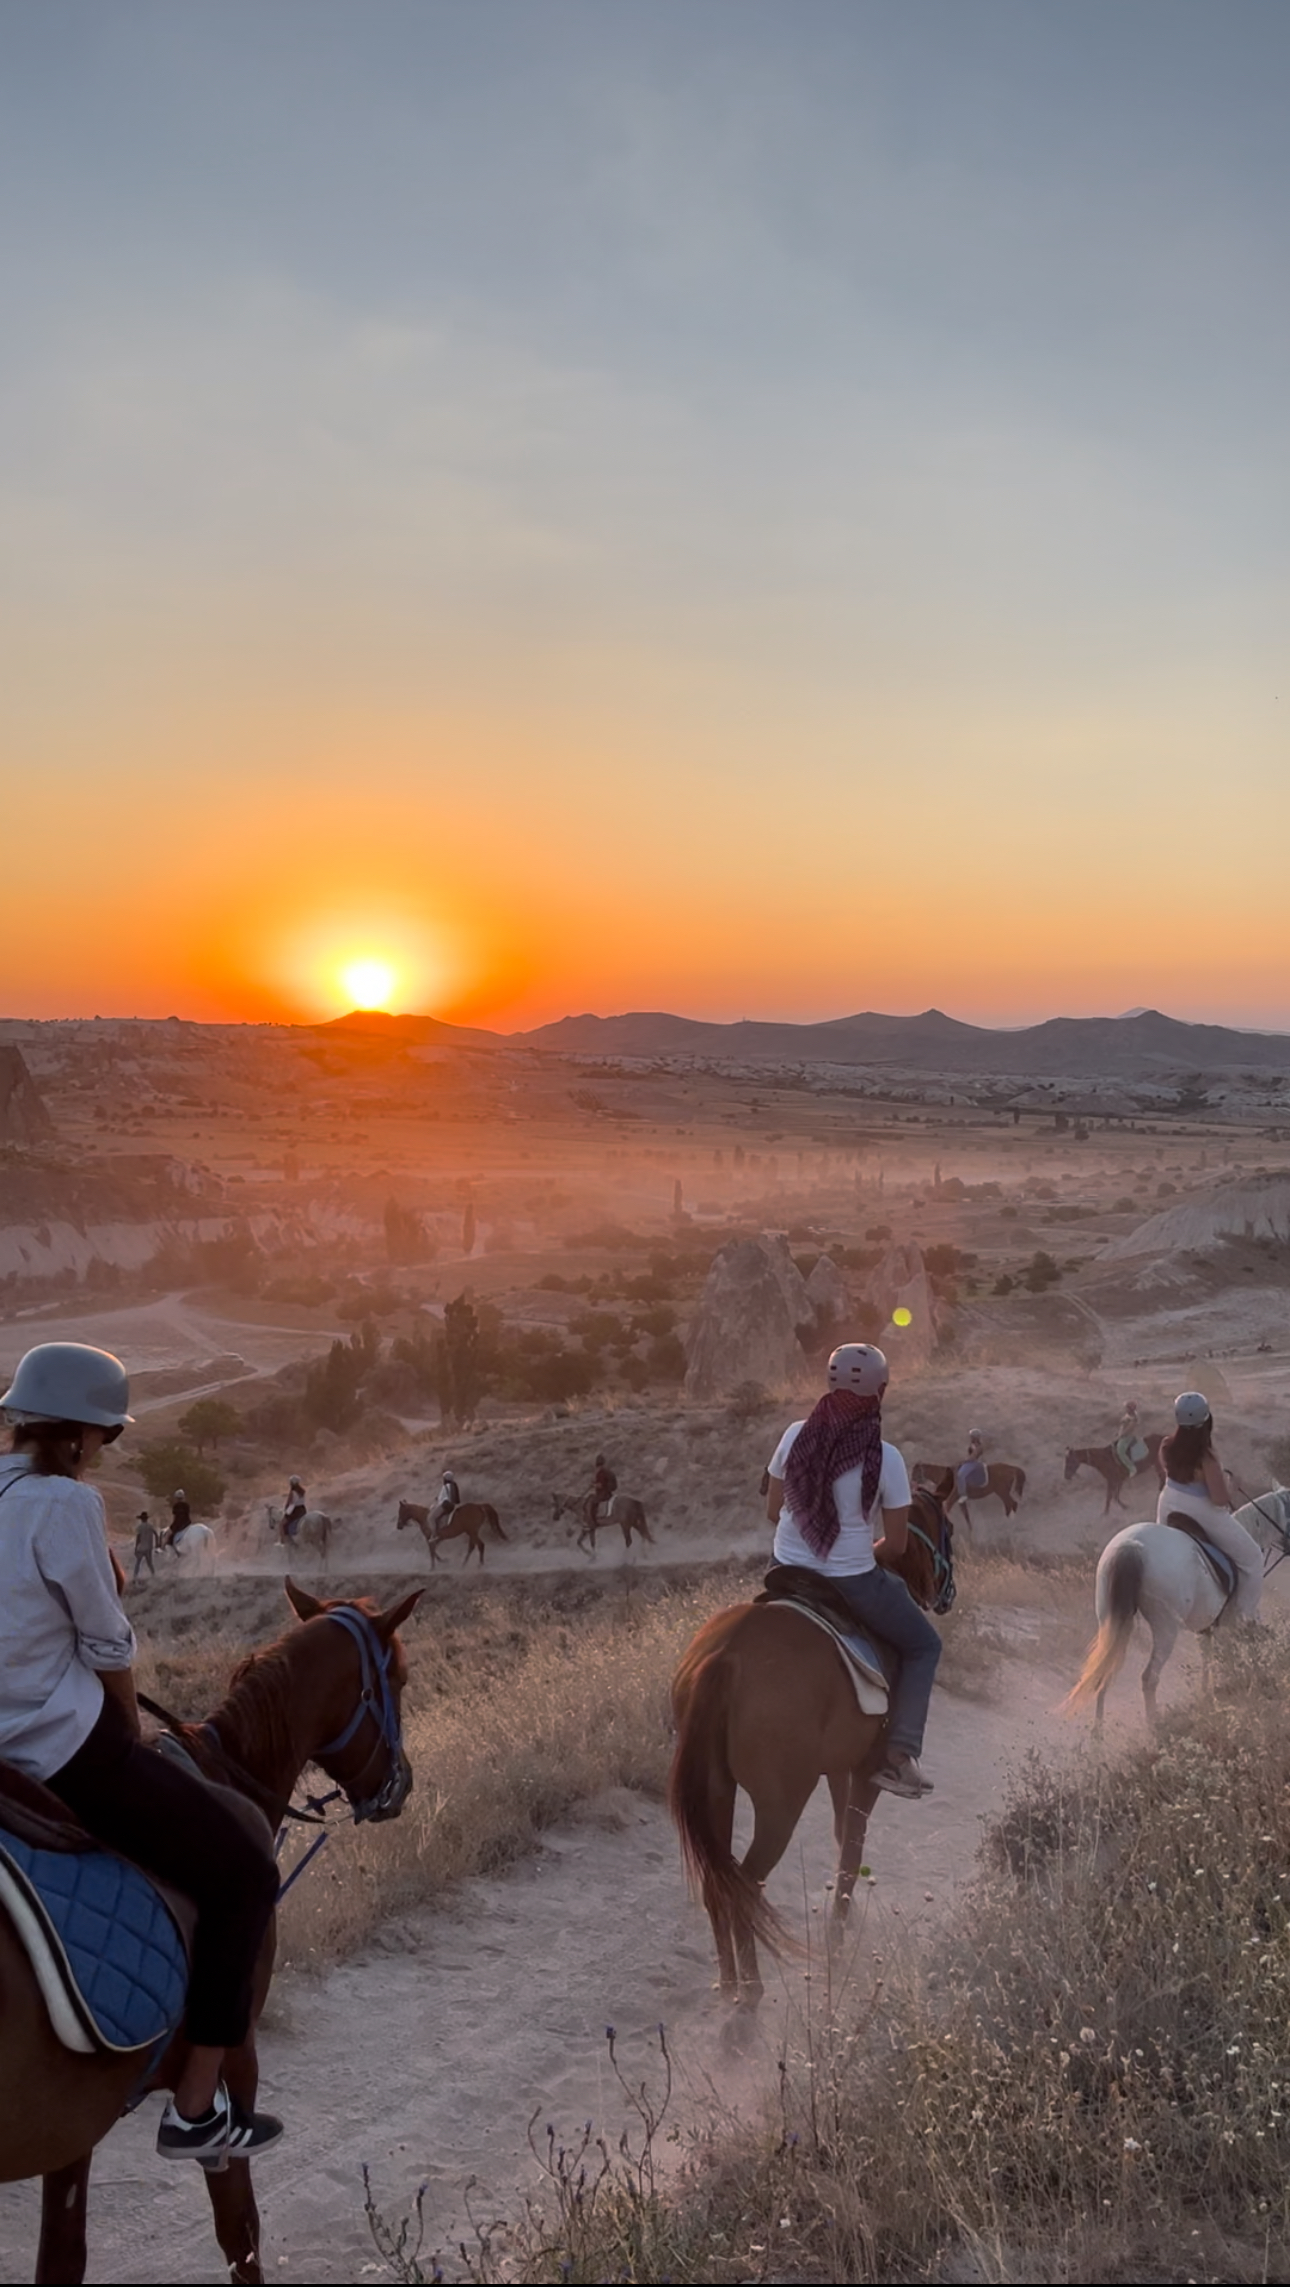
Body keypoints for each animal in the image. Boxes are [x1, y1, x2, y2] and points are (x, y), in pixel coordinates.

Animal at [0, 1582, 420, 2287]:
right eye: (401, 1678)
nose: (402, 1782)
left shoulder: (73, 2124)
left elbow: (62, 2257)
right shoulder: (236, 2053)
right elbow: (239, 2233)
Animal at [672, 1509, 942, 2012]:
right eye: (945, 1526)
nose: (943, 1593)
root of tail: (725, 1657)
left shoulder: (837, 1767)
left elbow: (841, 1839)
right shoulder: (865, 1772)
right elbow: (852, 1849)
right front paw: (837, 1939)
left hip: (716, 1787)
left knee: (720, 1882)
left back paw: (731, 1983)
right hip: (782, 1803)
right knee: (745, 1883)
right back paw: (752, 1988)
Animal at [1056, 1491, 1290, 1719]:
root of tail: (1132, 1546)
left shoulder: (1207, 1628)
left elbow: (1209, 1659)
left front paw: (1209, 1696)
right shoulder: (1229, 1625)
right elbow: (1233, 1656)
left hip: (1111, 1620)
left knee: (1105, 1670)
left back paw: (1099, 1731)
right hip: (1165, 1625)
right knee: (1149, 1677)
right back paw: (1155, 1725)